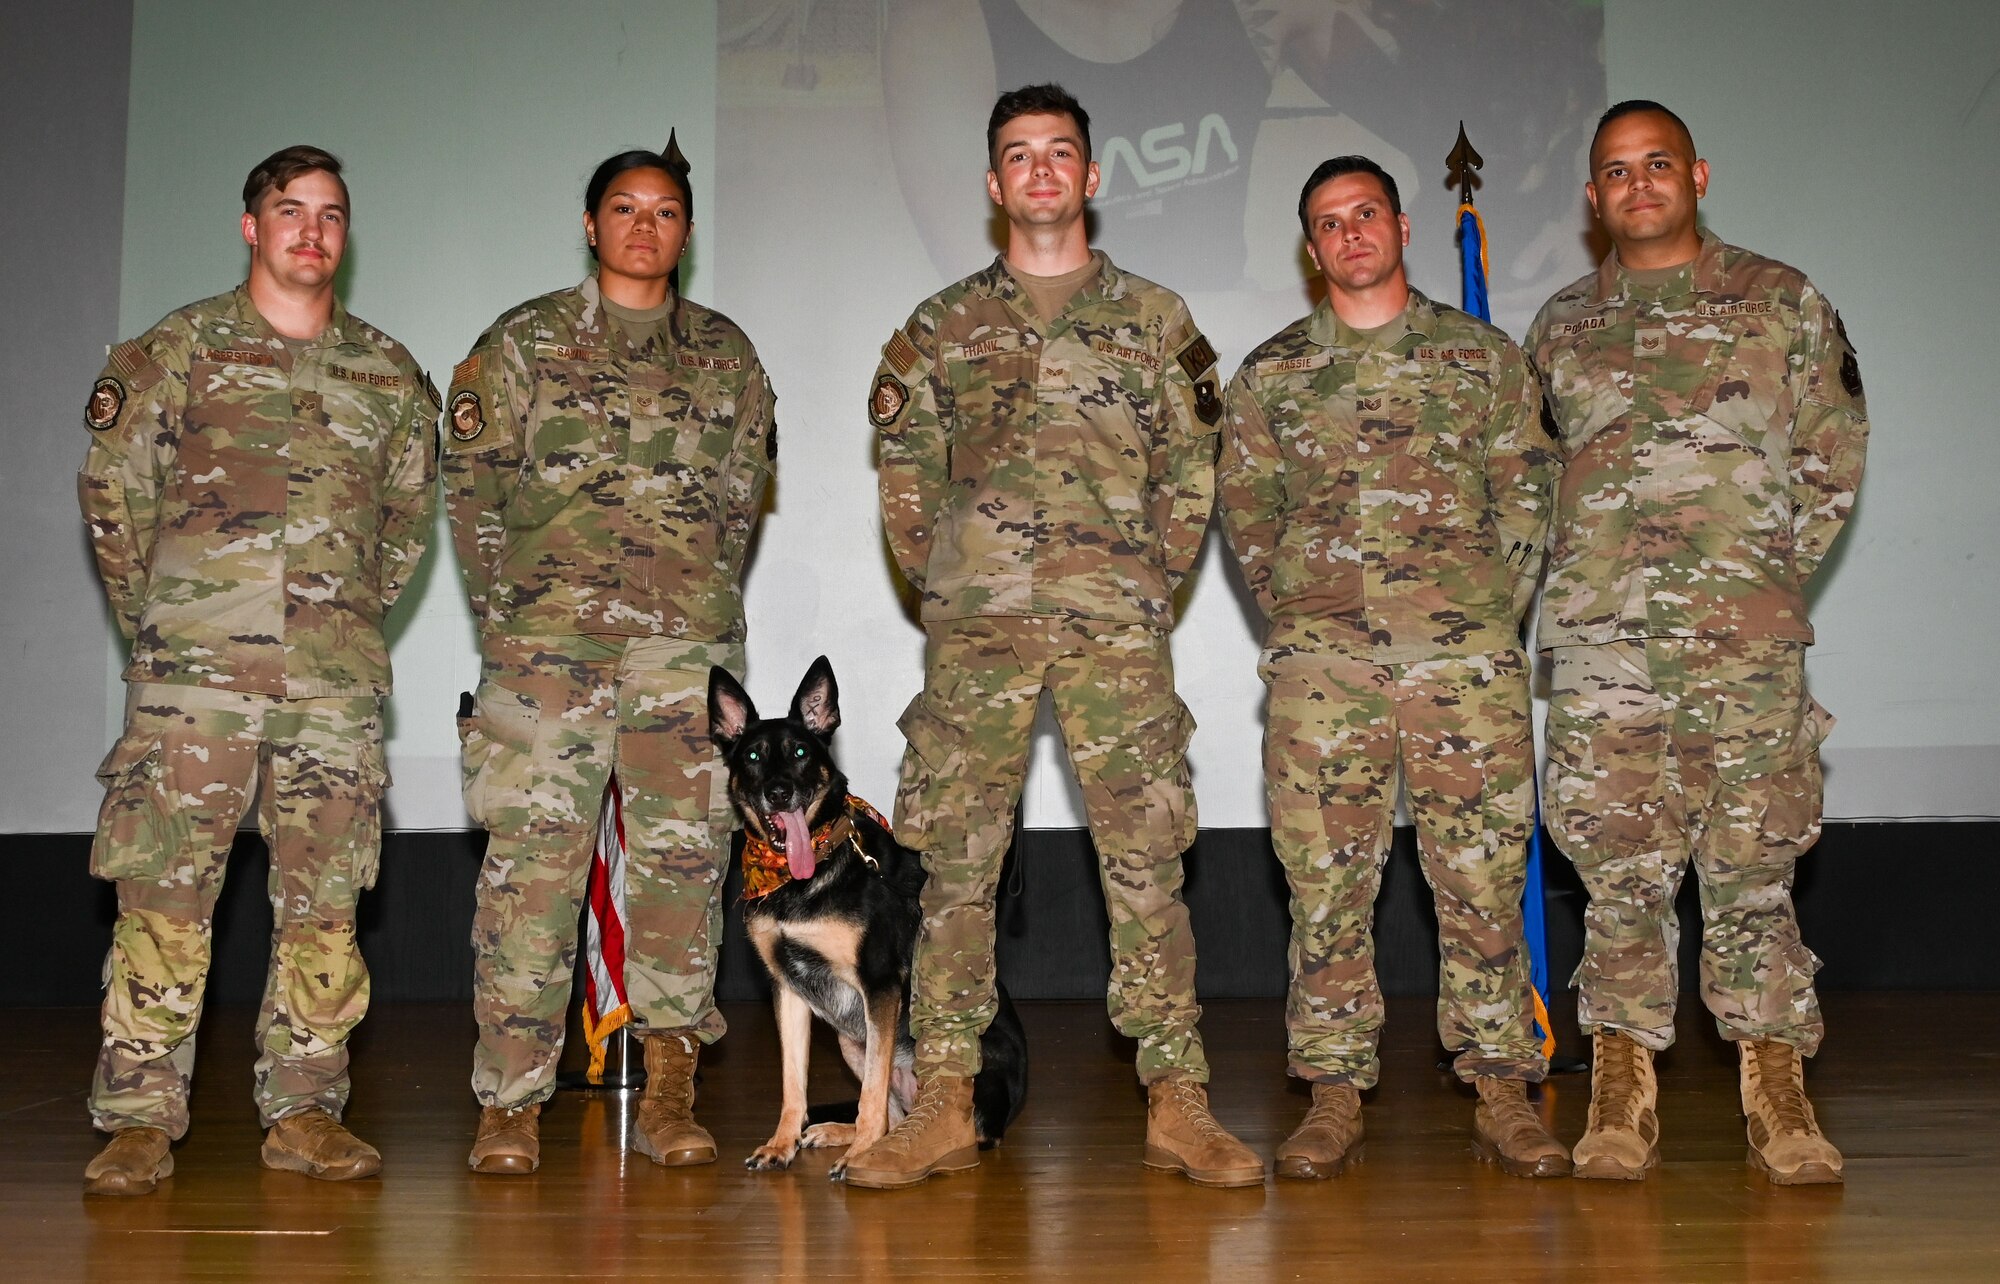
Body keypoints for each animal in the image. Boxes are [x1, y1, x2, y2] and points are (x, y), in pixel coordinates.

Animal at [704, 656, 1024, 1176]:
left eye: (800, 751)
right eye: (752, 757)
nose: (780, 792)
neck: (804, 874)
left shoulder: (879, 986)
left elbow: (871, 1093)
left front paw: (860, 1156)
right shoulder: (788, 991)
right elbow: (794, 1082)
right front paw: (782, 1142)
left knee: (945, 1122)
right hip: (850, 1040)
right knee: (894, 1116)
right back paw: (836, 1132)